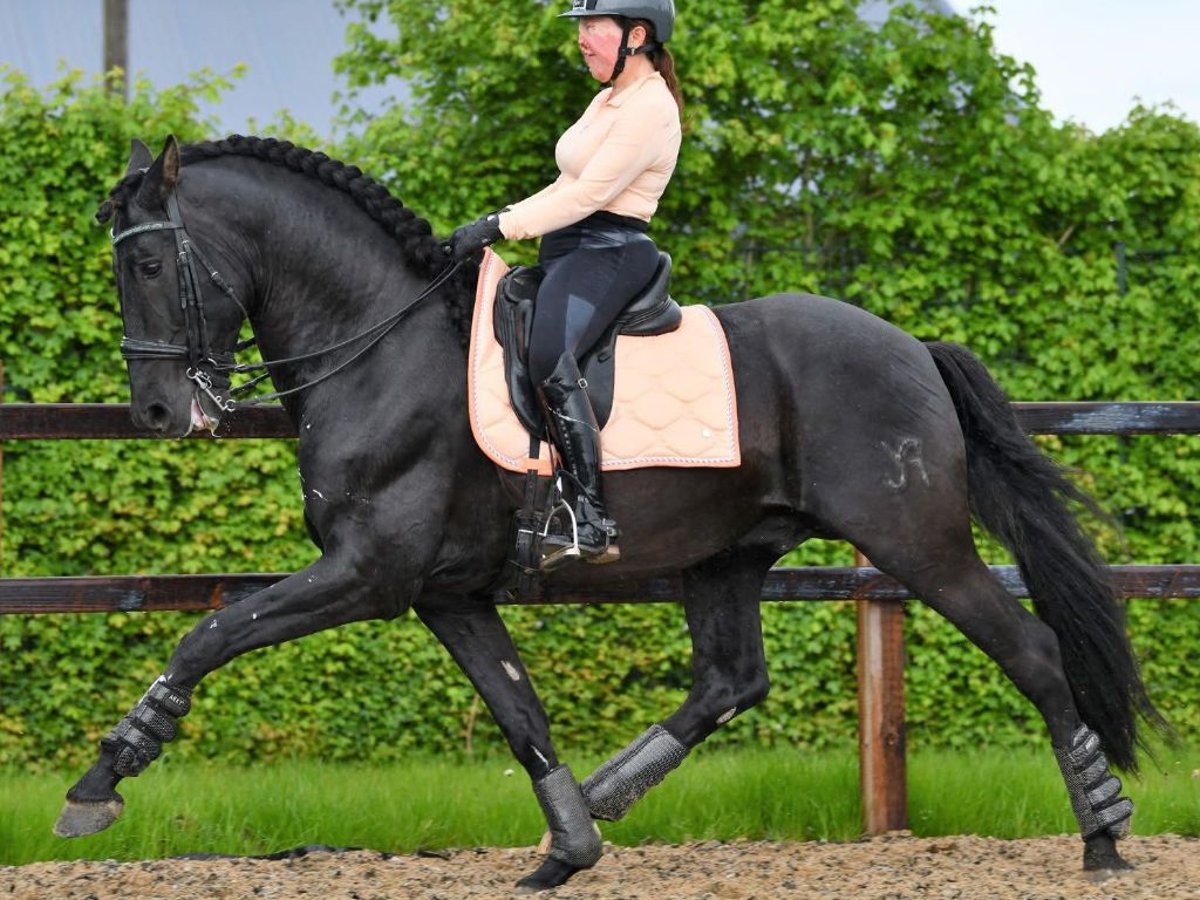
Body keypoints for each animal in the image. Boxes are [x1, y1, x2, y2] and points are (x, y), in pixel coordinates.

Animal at [55, 134, 1164, 890]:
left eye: (145, 264)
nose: (157, 413)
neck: (378, 346)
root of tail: (913, 348)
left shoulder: (368, 574)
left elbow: (209, 634)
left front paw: (99, 784)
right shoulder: (446, 595)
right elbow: (521, 714)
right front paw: (569, 845)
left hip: (916, 543)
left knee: (1032, 651)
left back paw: (1104, 833)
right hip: (727, 555)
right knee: (729, 682)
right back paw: (600, 802)